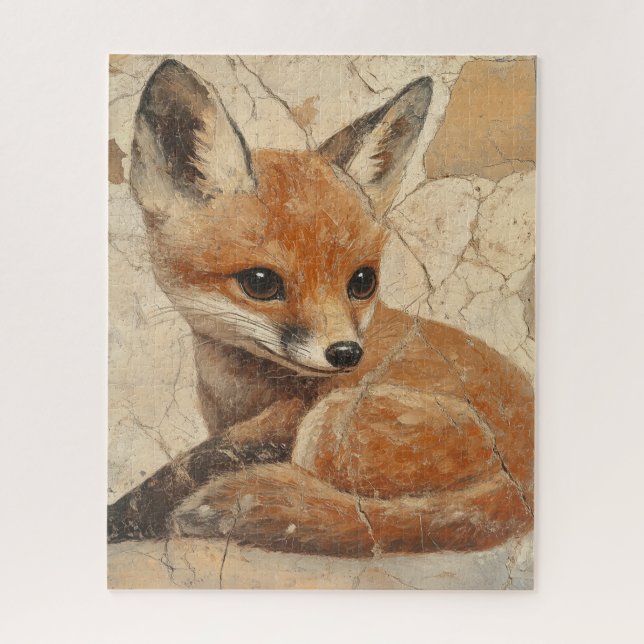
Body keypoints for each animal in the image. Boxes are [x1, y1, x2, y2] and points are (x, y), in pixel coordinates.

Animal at [123, 59, 534, 557]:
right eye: (260, 282)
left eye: (362, 281)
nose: (345, 354)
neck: (243, 389)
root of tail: (524, 489)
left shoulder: (290, 416)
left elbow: (189, 467)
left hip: (329, 425)